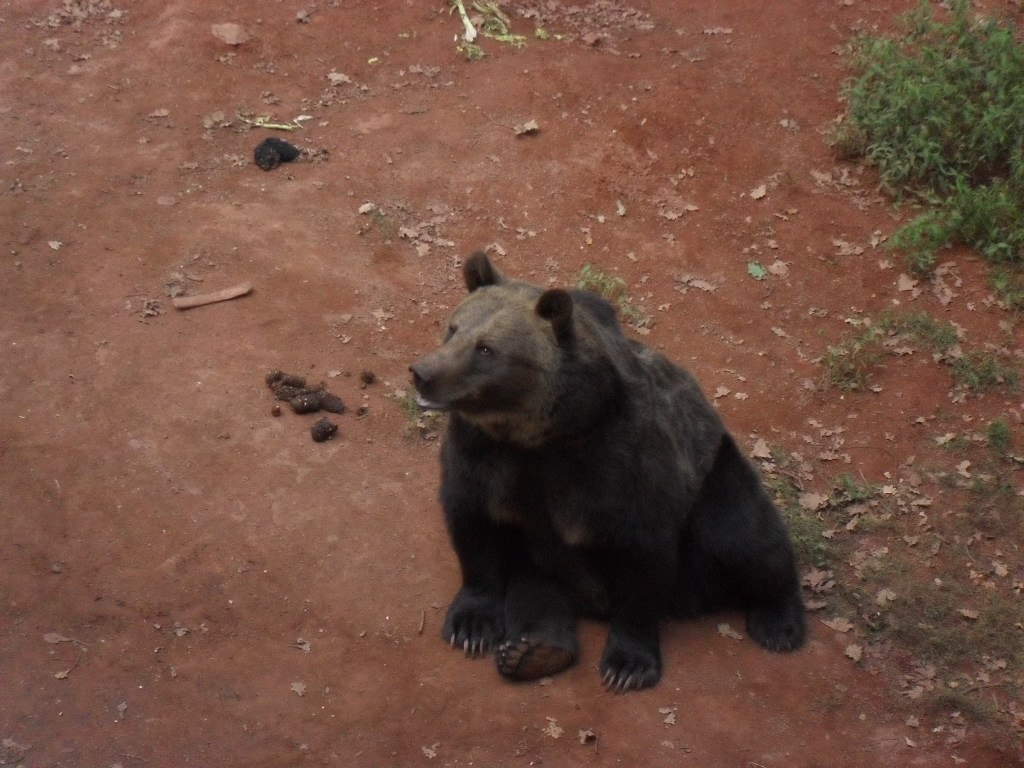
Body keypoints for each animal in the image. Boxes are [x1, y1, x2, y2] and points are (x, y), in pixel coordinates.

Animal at [410, 252, 806, 692]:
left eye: (485, 348)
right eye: (453, 328)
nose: (422, 373)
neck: (542, 434)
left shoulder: (616, 464)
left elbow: (640, 552)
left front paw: (628, 663)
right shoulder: (487, 456)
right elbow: (473, 524)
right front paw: (471, 625)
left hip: (715, 477)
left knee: (742, 535)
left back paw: (778, 621)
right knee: (536, 585)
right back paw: (536, 650)